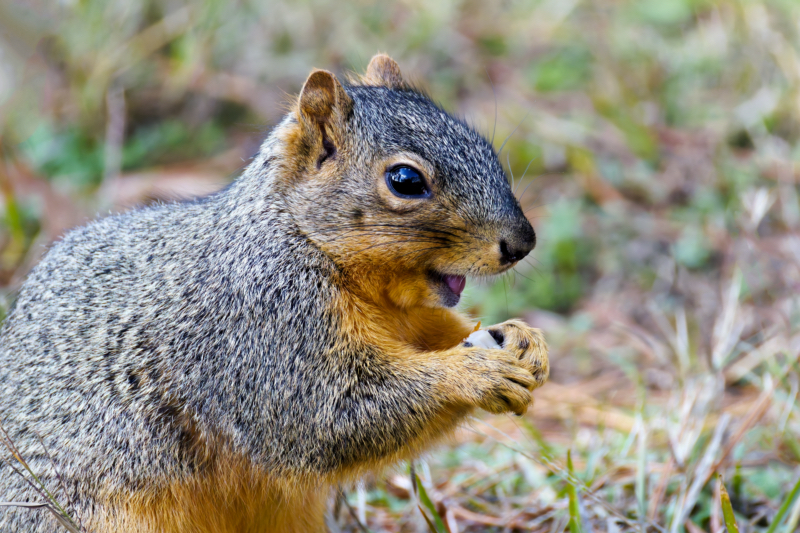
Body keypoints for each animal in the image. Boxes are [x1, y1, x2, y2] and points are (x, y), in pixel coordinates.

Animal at [0, 55, 548, 532]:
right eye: (405, 180)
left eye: (484, 146)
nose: (522, 242)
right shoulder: (261, 325)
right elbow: (322, 417)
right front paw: (474, 372)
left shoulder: (412, 318)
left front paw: (525, 339)